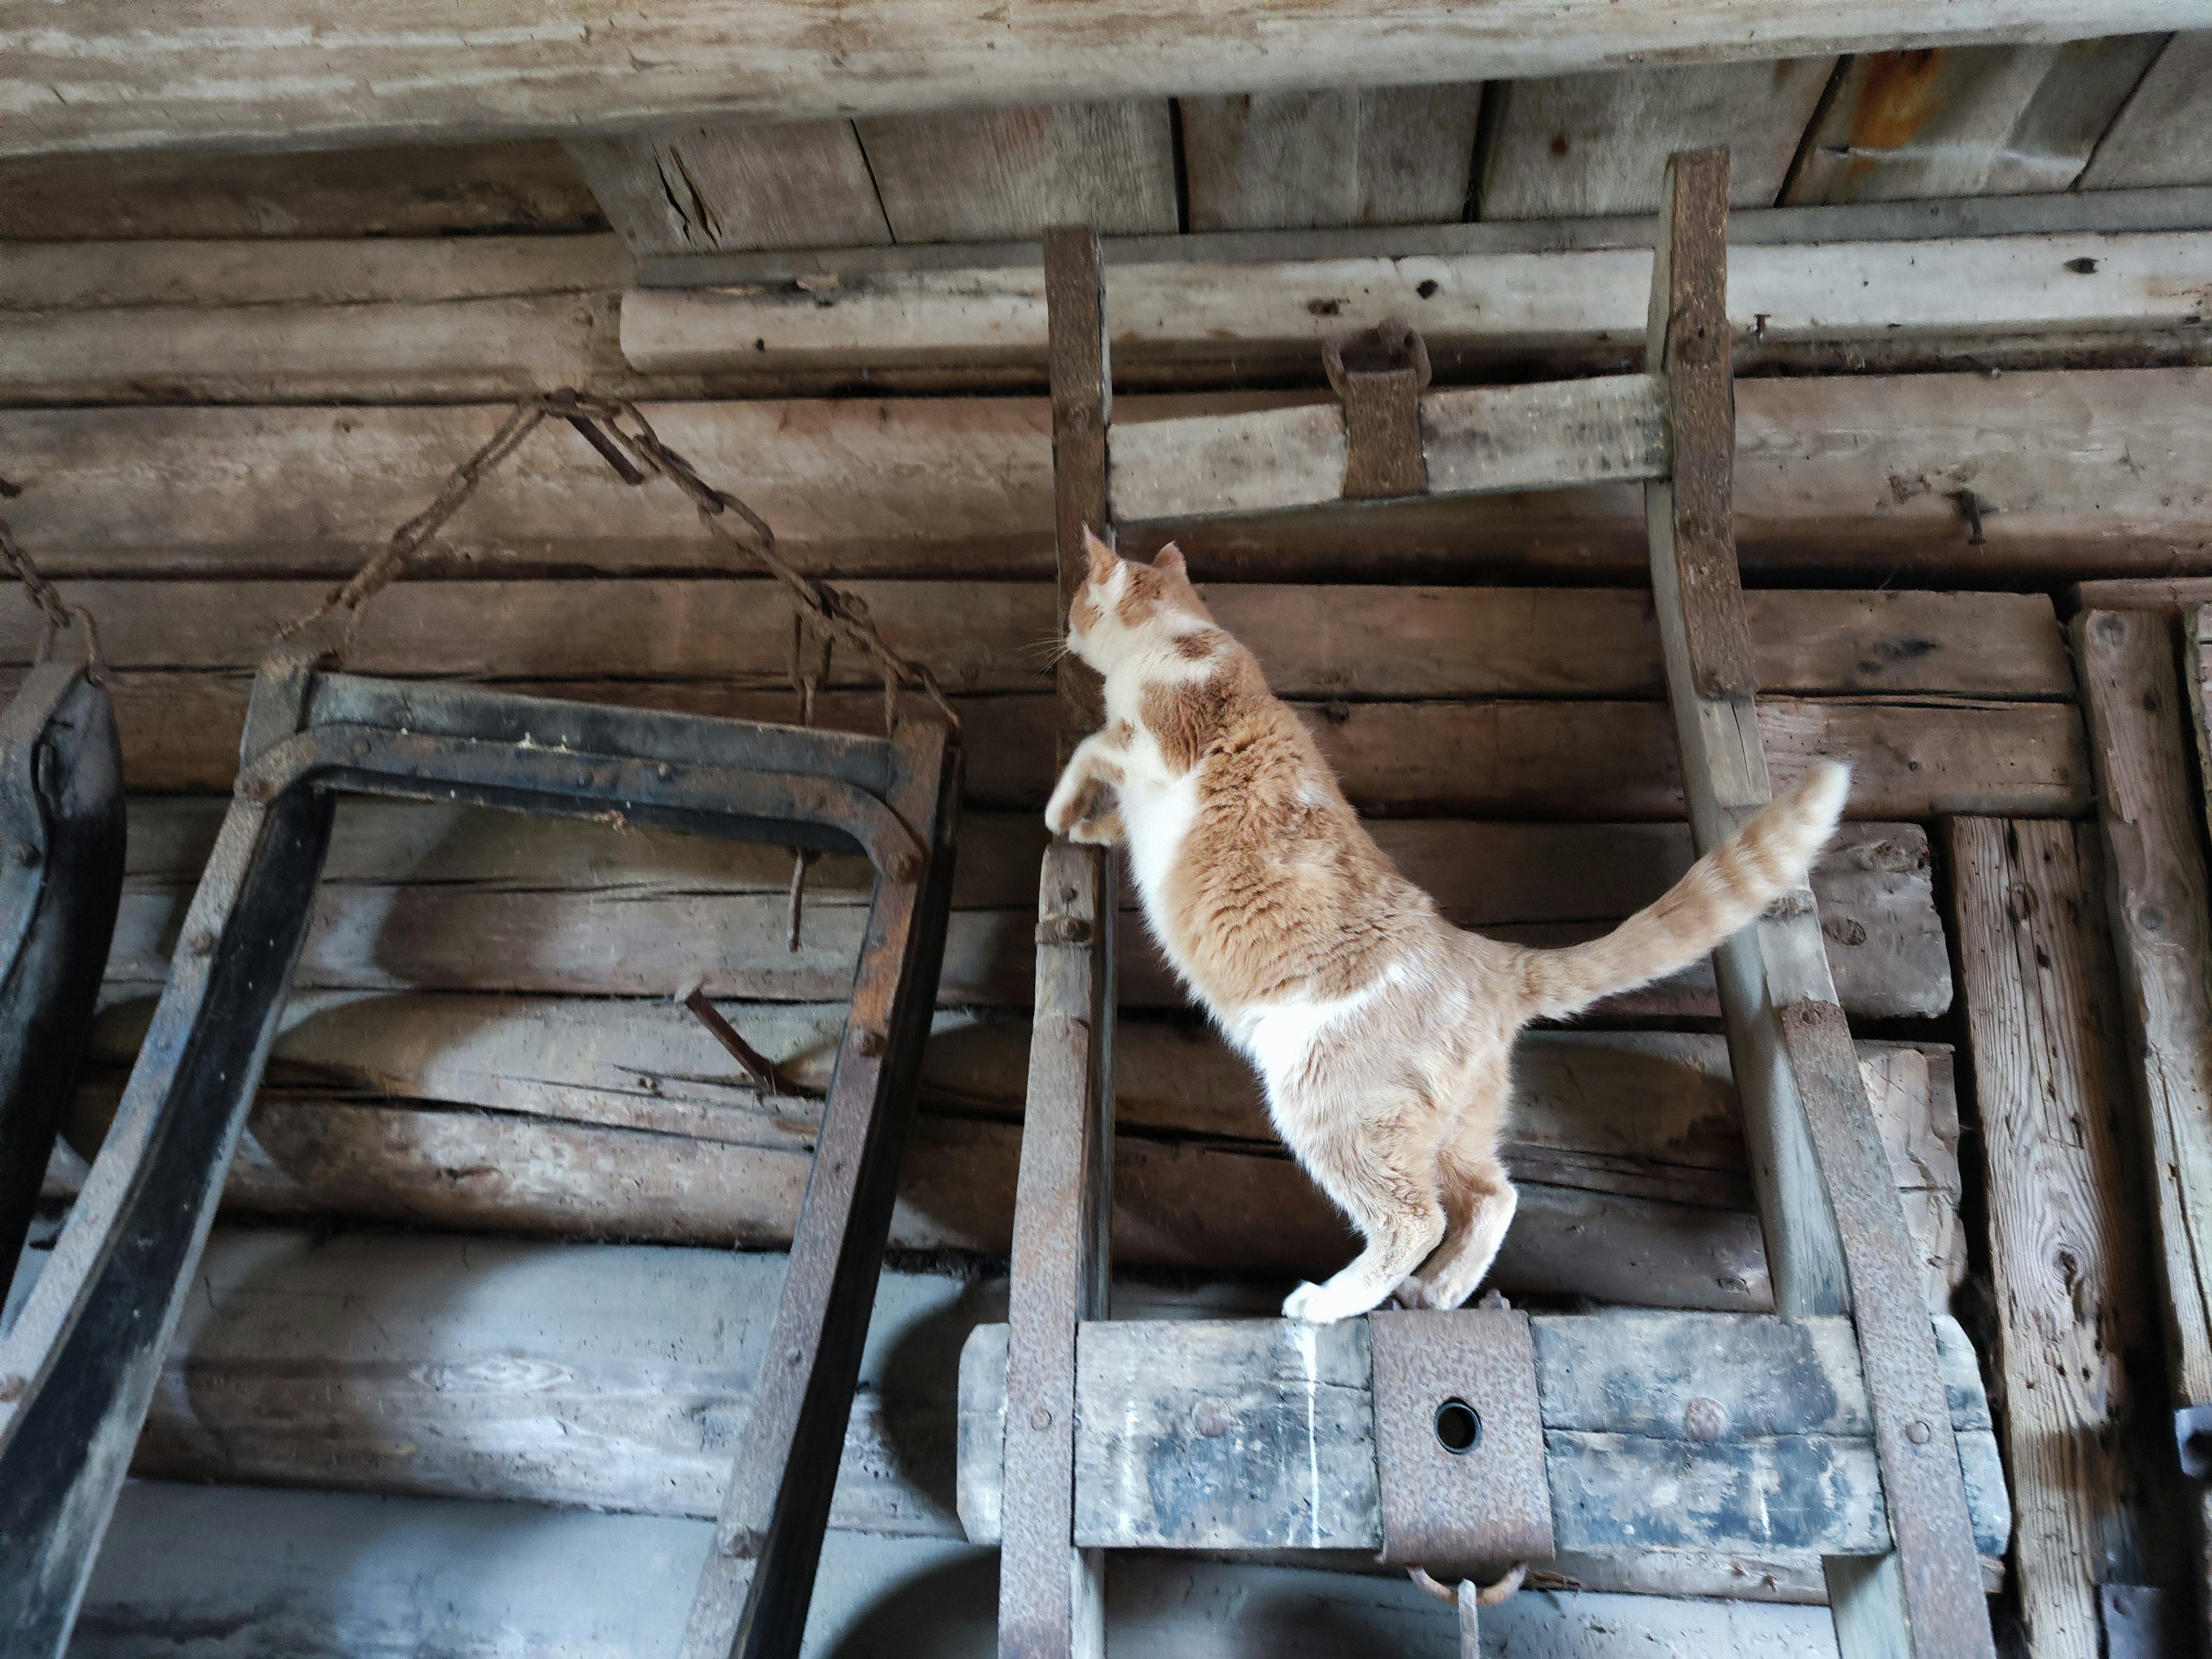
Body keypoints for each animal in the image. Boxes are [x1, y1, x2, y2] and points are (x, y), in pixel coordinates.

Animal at [1048, 539, 1849, 1336]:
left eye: (1078, 601)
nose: (1064, 633)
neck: (1183, 635)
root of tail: (1487, 957)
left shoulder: (1158, 745)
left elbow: (1090, 747)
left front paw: (1061, 811)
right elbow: (1110, 803)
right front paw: (1089, 827)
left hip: (1330, 1105)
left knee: (1416, 1219)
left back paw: (1329, 1302)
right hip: (1455, 1128)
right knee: (1495, 1196)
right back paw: (1439, 1293)